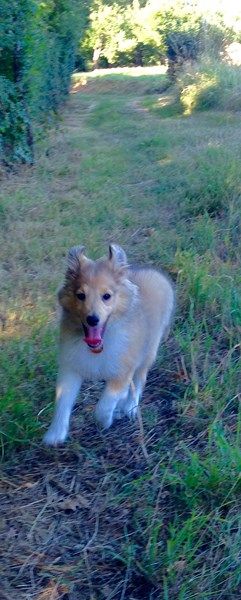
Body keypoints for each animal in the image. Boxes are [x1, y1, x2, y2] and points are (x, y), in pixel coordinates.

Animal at [43, 244, 174, 446]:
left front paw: (105, 421)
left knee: (139, 381)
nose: (92, 319)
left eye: (106, 296)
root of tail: (154, 274)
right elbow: (62, 401)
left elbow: (104, 405)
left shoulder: (122, 371)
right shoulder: (71, 368)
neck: (98, 347)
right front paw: (55, 434)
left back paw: (129, 408)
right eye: (80, 295)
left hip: (148, 353)